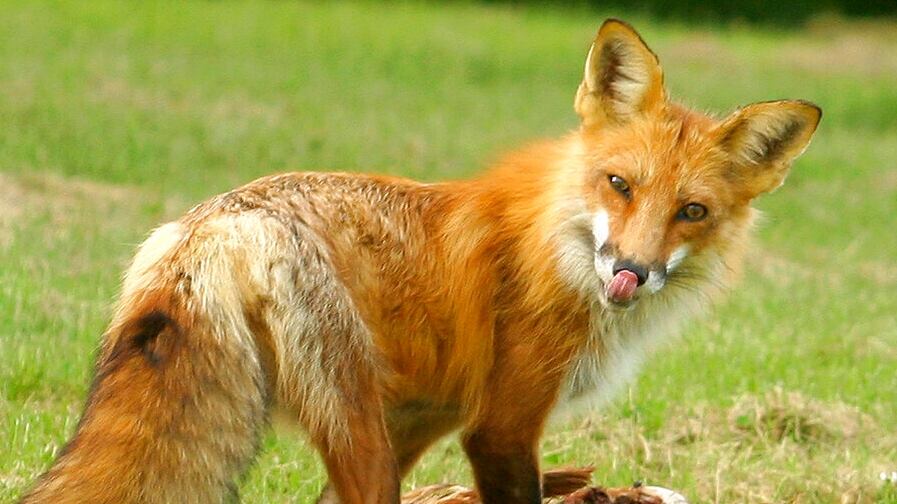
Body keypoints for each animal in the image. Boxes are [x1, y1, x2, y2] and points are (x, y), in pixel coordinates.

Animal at [20, 19, 820, 504]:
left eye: (693, 212)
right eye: (620, 185)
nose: (632, 270)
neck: (556, 247)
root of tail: (214, 224)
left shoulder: (426, 421)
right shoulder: (500, 427)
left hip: (369, 438)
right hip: (357, 426)